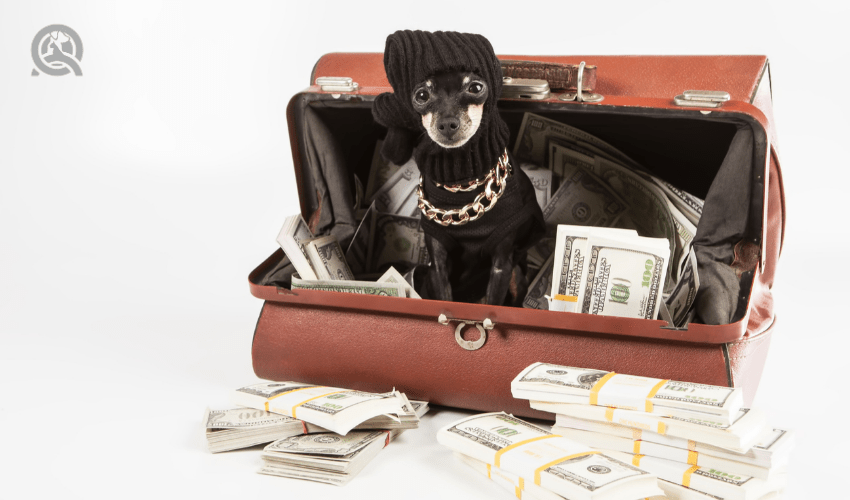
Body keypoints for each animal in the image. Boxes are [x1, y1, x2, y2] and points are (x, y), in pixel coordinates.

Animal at [372, 31, 544, 306]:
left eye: (475, 87)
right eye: (421, 95)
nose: (447, 123)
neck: (462, 182)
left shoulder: (501, 265)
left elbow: (495, 302)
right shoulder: (438, 265)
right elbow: (444, 295)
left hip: (516, 274)